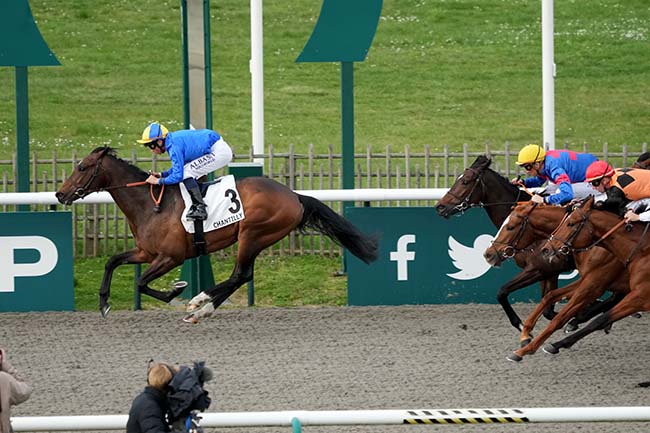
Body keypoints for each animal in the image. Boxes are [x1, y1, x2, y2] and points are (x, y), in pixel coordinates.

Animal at [55, 147, 379, 322]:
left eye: (82, 166)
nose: (60, 194)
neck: (151, 205)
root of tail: (294, 196)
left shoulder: (171, 257)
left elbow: (142, 284)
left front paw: (177, 291)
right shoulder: (146, 252)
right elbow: (113, 261)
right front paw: (104, 303)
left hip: (253, 233)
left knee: (240, 275)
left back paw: (200, 304)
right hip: (256, 237)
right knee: (242, 276)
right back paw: (203, 307)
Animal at [436, 155, 574, 333]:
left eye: (465, 181)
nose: (439, 207)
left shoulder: (538, 268)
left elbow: (503, 292)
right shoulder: (547, 271)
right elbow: (548, 310)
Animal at [540, 195, 650, 354]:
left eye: (571, 223)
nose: (546, 249)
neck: (642, 249)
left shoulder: (640, 295)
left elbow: (600, 319)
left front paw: (556, 343)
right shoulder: (592, 280)